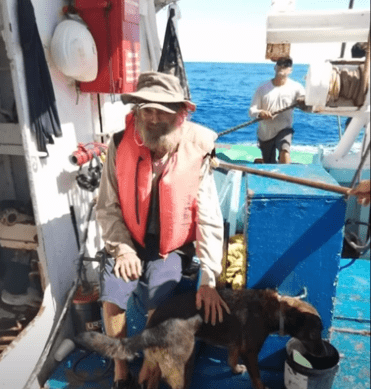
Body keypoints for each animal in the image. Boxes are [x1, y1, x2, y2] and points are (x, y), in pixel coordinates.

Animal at [75, 288, 326, 388]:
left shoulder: (235, 345)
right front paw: (261, 386)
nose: (323, 354)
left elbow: (231, 359)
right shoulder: (250, 351)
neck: (275, 310)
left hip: (155, 362)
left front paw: (235, 370)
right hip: (179, 366)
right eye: (315, 333)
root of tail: (152, 326)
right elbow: (256, 377)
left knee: (150, 382)